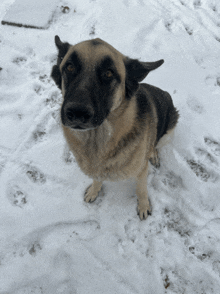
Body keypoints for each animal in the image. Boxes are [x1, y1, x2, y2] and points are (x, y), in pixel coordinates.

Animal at [51, 35, 179, 219]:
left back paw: (153, 154)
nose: (77, 112)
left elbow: (141, 190)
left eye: (108, 73)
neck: (99, 141)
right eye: (69, 67)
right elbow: (97, 179)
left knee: (156, 144)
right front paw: (94, 191)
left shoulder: (141, 171)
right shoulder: (97, 169)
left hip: (168, 132)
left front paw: (143, 206)